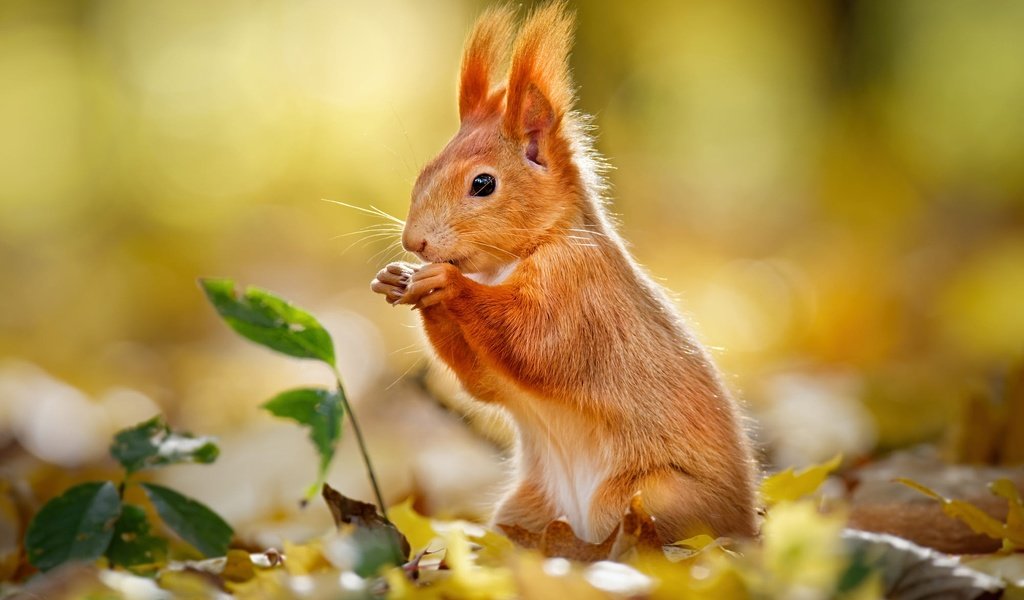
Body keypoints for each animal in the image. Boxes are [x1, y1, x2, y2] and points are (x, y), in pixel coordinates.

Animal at [372, 1, 757, 540]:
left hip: (651, 498)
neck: (507, 263)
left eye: (483, 184)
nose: (414, 242)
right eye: (424, 171)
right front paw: (397, 278)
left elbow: (535, 342)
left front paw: (446, 284)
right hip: (525, 508)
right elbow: (482, 381)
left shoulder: (579, 290)